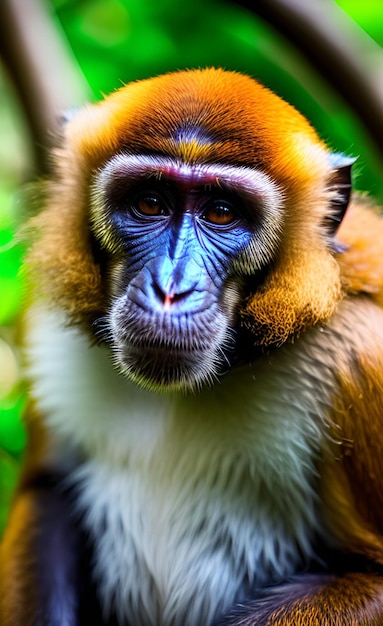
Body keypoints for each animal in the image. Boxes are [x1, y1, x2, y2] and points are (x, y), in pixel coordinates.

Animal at [0, 66, 383, 620]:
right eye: (149, 203)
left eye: (222, 212)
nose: (170, 288)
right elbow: (46, 490)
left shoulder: (360, 357)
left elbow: (370, 575)